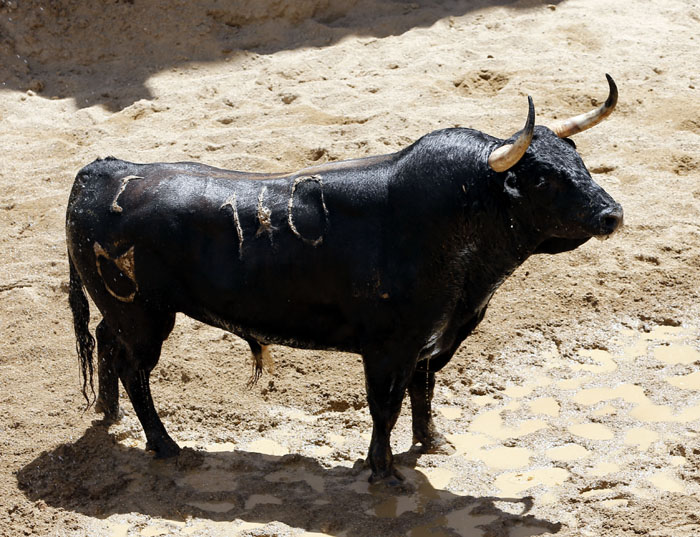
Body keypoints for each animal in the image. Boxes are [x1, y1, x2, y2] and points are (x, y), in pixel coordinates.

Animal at [66, 75, 623, 485]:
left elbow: (423, 391)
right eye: (543, 178)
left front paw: (432, 442)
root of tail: (99, 170)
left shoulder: (430, 340)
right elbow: (386, 406)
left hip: (126, 311)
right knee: (134, 369)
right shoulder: (388, 348)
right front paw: (384, 470)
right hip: (144, 317)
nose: (612, 213)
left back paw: (109, 414)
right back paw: (164, 444)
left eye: (580, 161)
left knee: (106, 342)